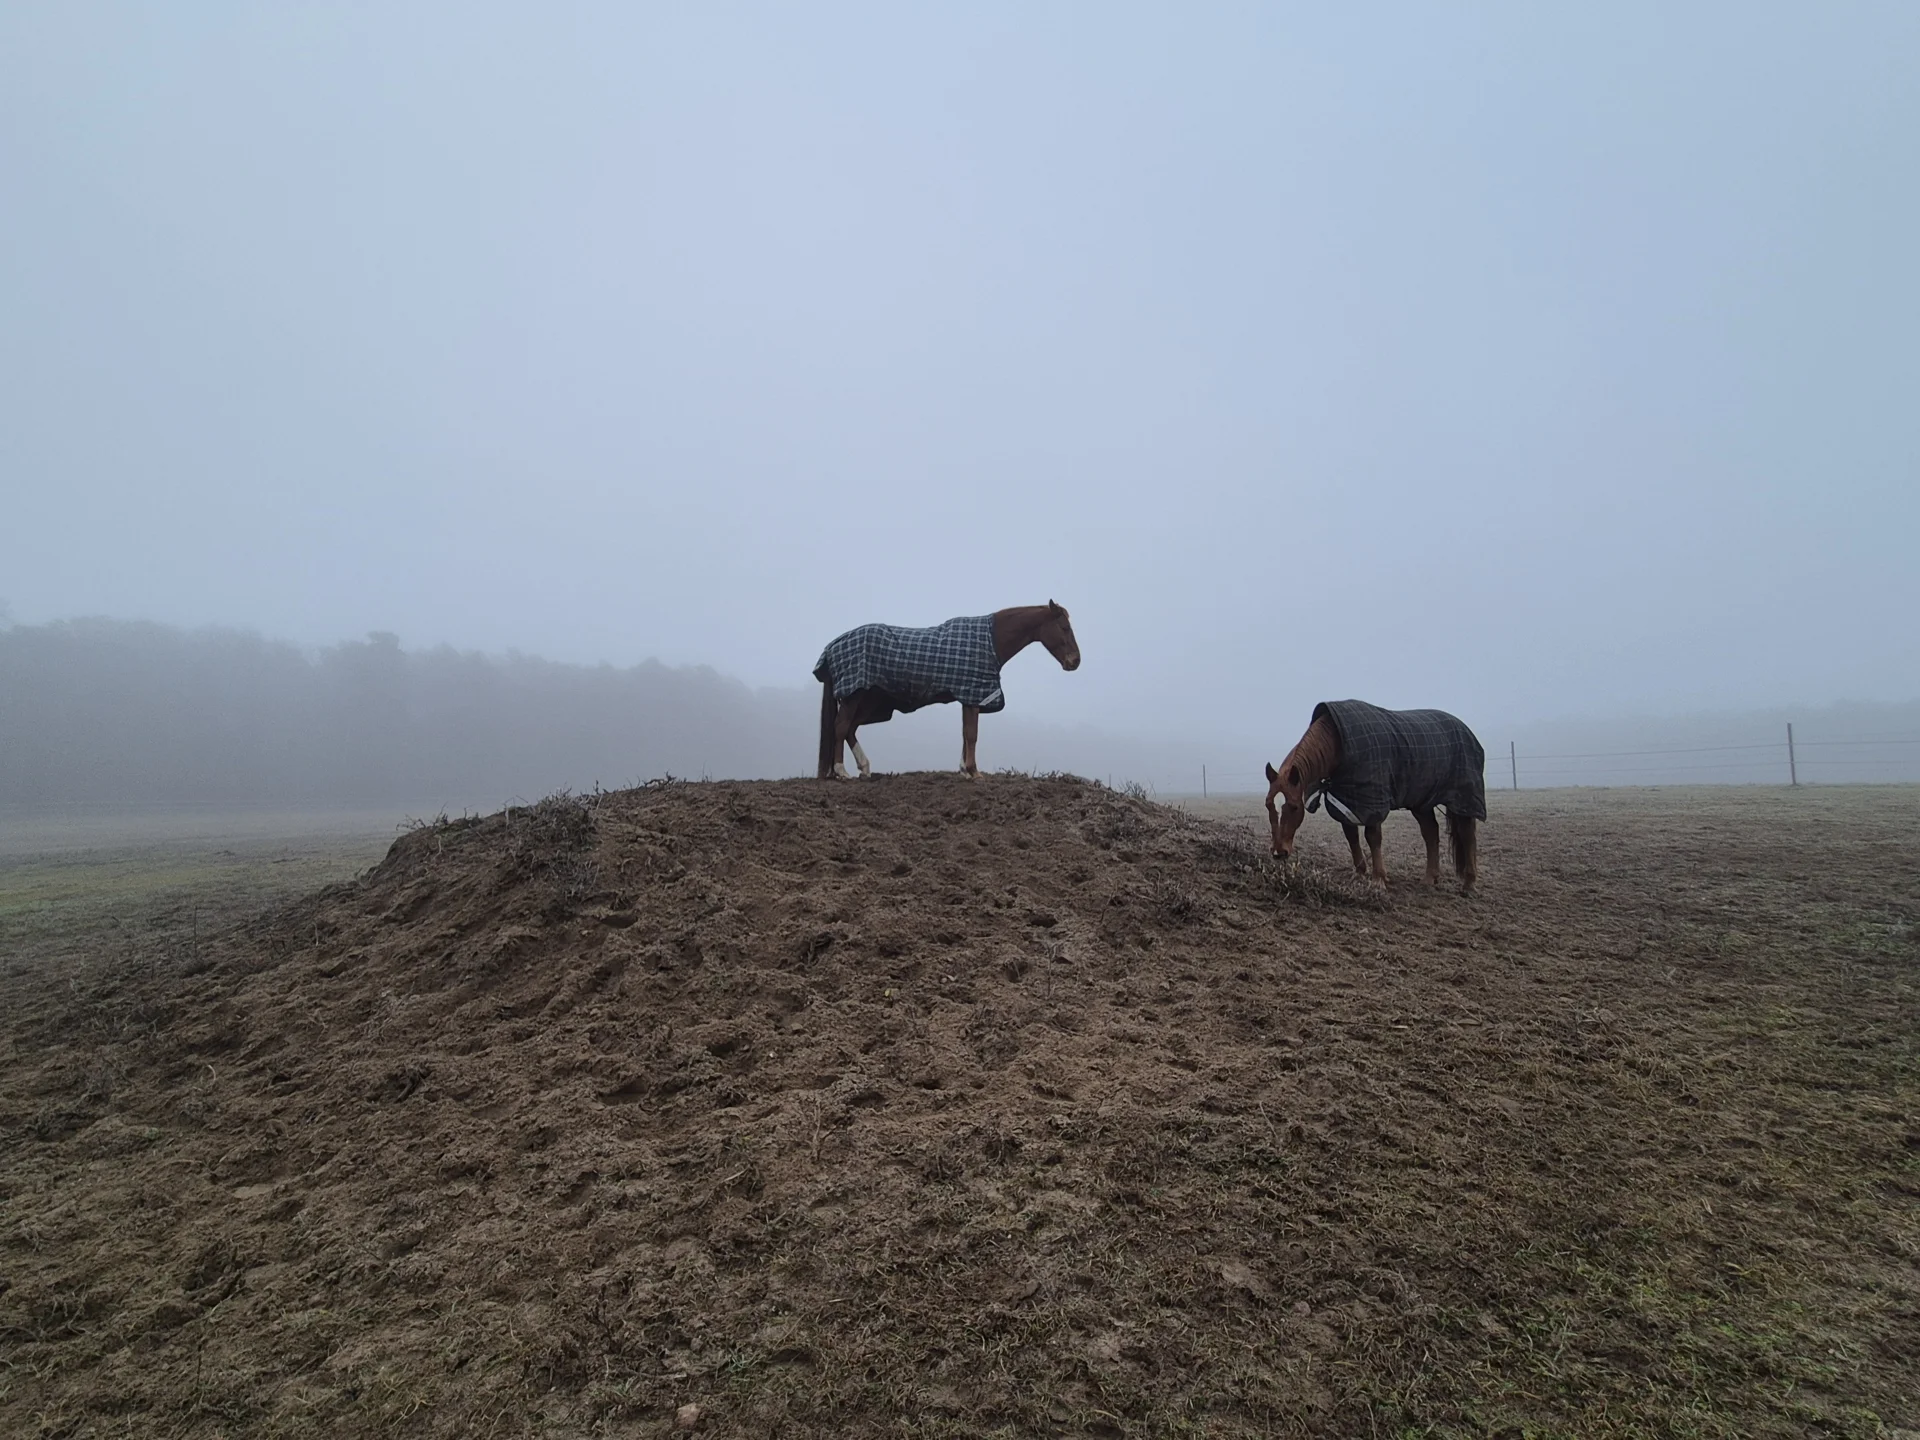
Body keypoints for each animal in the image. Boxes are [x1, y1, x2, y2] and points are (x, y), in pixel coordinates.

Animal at [814, 602, 1080, 780]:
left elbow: (965, 733)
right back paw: (841, 771)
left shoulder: (968, 695)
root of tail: (833, 645)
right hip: (854, 694)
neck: (989, 642)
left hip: (869, 698)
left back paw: (864, 768)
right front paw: (973, 772)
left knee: (850, 728)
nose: (1075, 661)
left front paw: (964, 770)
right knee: (841, 726)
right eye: (1065, 627)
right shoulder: (973, 693)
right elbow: (971, 734)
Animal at [1264, 699, 1484, 894]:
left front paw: (1379, 879)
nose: (1278, 852)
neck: (1338, 742)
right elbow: (1351, 836)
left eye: (1294, 807)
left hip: (1463, 799)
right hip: (1421, 802)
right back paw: (1430, 879)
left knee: (1467, 835)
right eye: (1268, 805)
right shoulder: (1345, 800)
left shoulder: (1373, 801)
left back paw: (1469, 884)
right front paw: (1360, 873)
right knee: (1431, 833)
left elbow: (1373, 837)